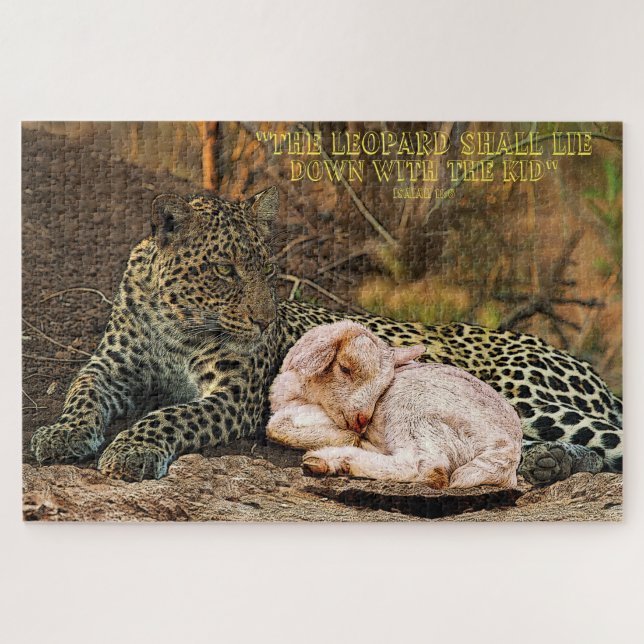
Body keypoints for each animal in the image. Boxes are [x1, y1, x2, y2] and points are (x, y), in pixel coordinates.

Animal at [267, 320, 522, 488]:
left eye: (383, 386)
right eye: (345, 368)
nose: (362, 420)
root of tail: (508, 449)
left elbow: (275, 426)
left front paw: (349, 438)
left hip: (413, 408)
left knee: (429, 469)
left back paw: (331, 460)